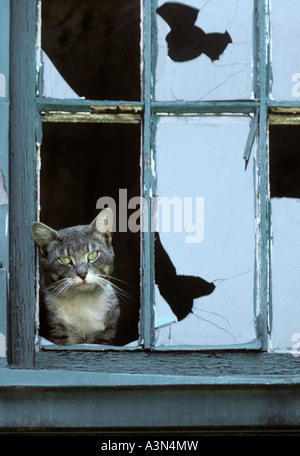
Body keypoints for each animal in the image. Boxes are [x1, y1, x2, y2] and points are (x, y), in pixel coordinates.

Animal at [30, 208, 119, 346]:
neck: (82, 301)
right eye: (64, 259)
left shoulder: (106, 333)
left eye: (93, 255)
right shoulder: (57, 330)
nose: (82, 274)